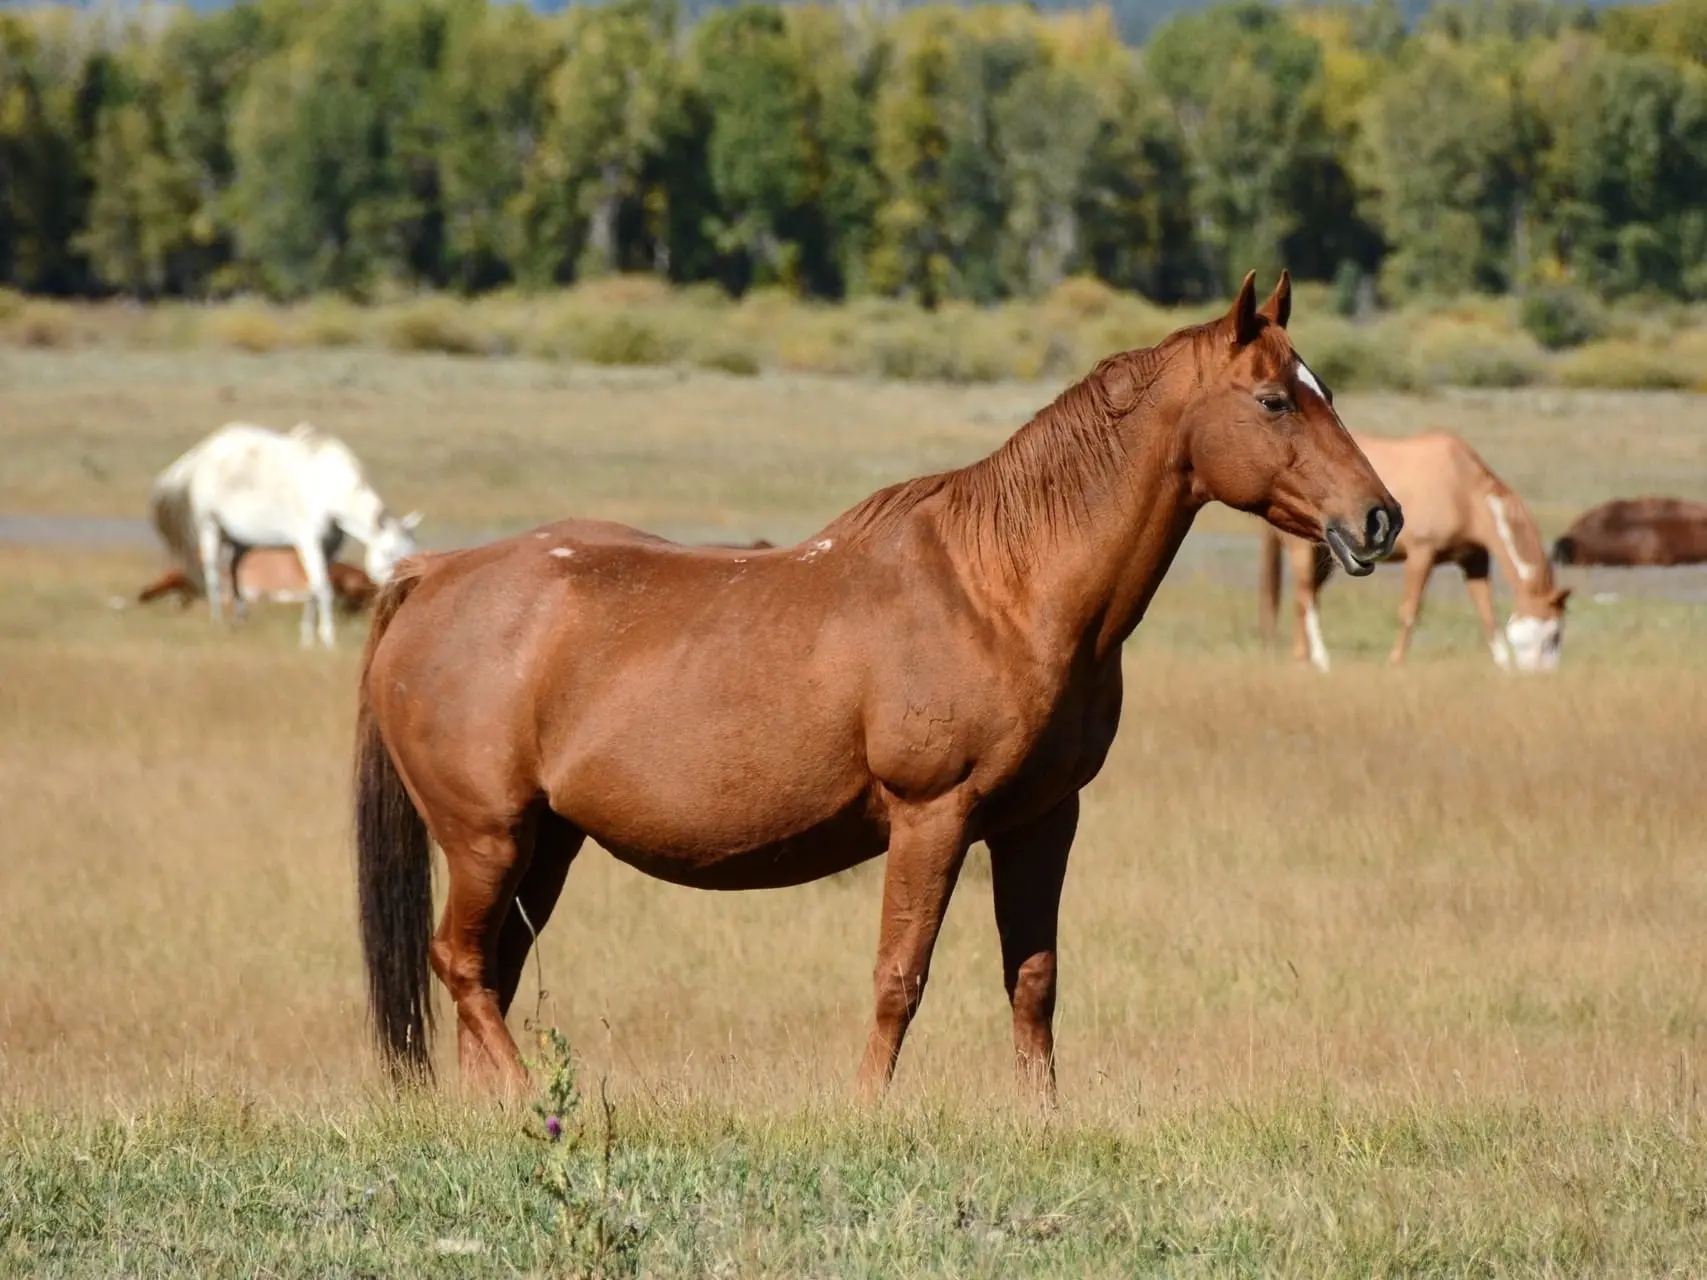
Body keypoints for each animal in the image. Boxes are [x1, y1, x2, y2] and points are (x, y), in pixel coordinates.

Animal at [349, 276, 1399, 1105]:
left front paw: (1041, 1116)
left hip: (547, 844)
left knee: (492, 971)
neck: (1001, 590)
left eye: (1324, 392)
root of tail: (432, 575)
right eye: (1273, 400)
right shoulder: (931, 817)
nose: (1380, 519)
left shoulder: (1041, 821)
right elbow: (901, 975)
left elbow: (1034, 978)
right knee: (461, 964)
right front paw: (866, 1107)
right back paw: (531, 1102)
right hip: (487, 839)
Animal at [1263, 428, 1563, 672]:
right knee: (1306, 597)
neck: (1462, 489)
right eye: (1551, 635)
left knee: (1305, 596)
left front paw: (1504, 667)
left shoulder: (1474, 561)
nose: (1540, 674)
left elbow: (1488, 614)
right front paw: (1395, 662)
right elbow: (1410, 611)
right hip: (1304, 550)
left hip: (1328, 557)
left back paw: (1302, 658)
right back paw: (1321, 659)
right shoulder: (1422, 554)